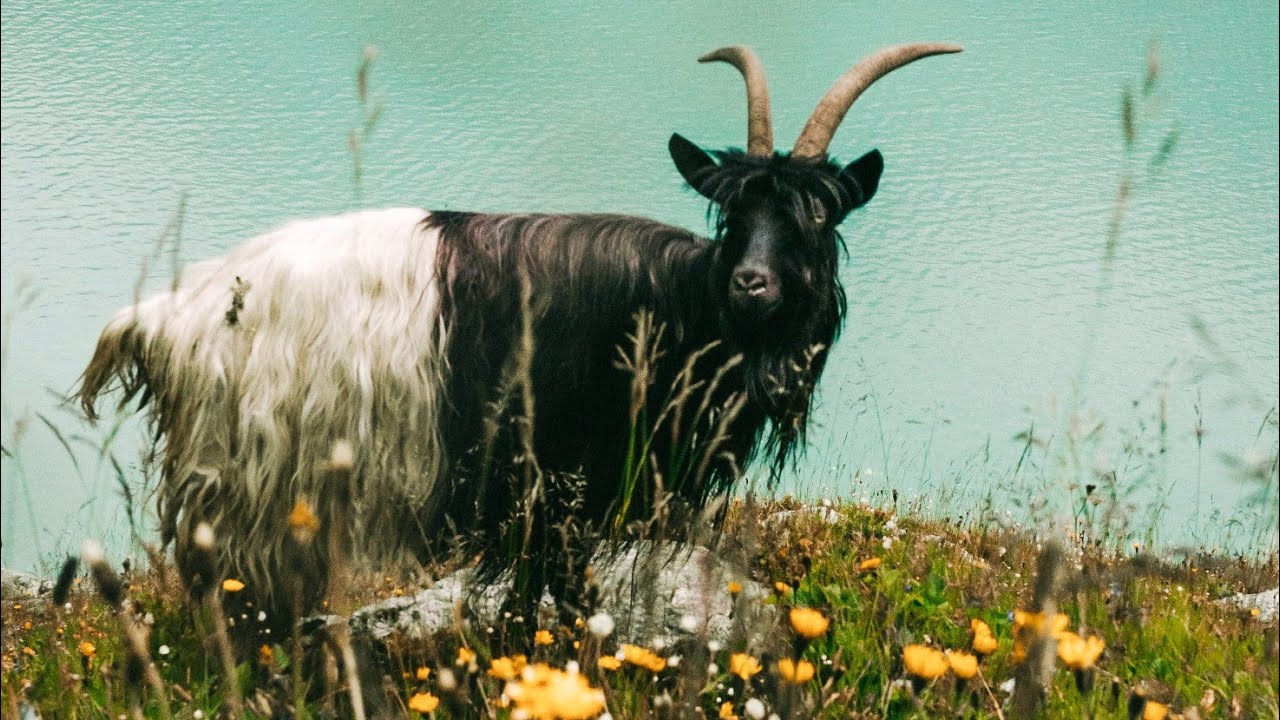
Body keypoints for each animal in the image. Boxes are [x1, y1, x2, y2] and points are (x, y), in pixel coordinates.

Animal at [77, 43, 961, 627]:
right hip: (249, 495)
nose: (752, 282)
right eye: (733, 217)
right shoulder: (562, 489)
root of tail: (164, 320)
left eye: (817, 220)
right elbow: (557, 602)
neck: (677, 307)